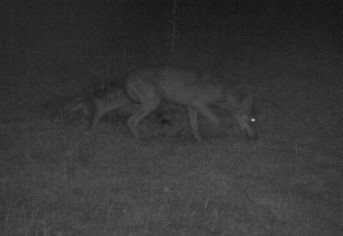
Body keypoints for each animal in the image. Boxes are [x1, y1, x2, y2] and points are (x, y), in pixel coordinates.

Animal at [90, 65, 260, 142]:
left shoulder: (191, 107)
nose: (256, 137)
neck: (223, 92)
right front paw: (212, 136)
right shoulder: (200, 105)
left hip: (134, 100)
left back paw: (94, 126)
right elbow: (217, 120)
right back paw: (141, 139)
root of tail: (129, 74)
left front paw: (198, 139)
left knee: (104, 106)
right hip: (151, 104)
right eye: (253, 120)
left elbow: (194, 126)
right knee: (130, 120)